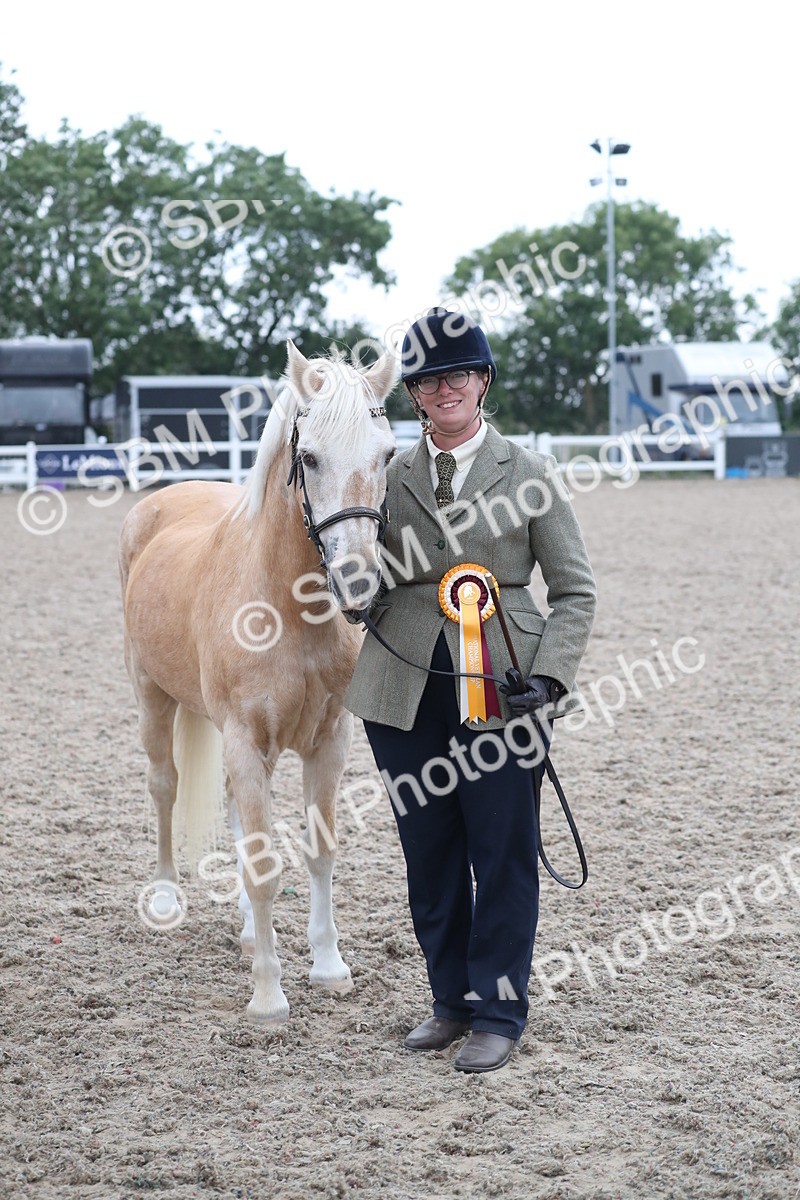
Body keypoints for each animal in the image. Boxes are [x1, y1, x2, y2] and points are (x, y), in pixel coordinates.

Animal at [119, 342, 398, 1023]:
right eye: (309, 456)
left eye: (387, 454)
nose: (359, 584)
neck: (288, 608)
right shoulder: (247, 741)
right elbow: (264, 864)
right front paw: (269, 997)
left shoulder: (327, 742)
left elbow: (319, 851)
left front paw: (328, 966)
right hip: (152, 696)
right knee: (163, 787)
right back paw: (164, 899)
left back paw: (249, 931)